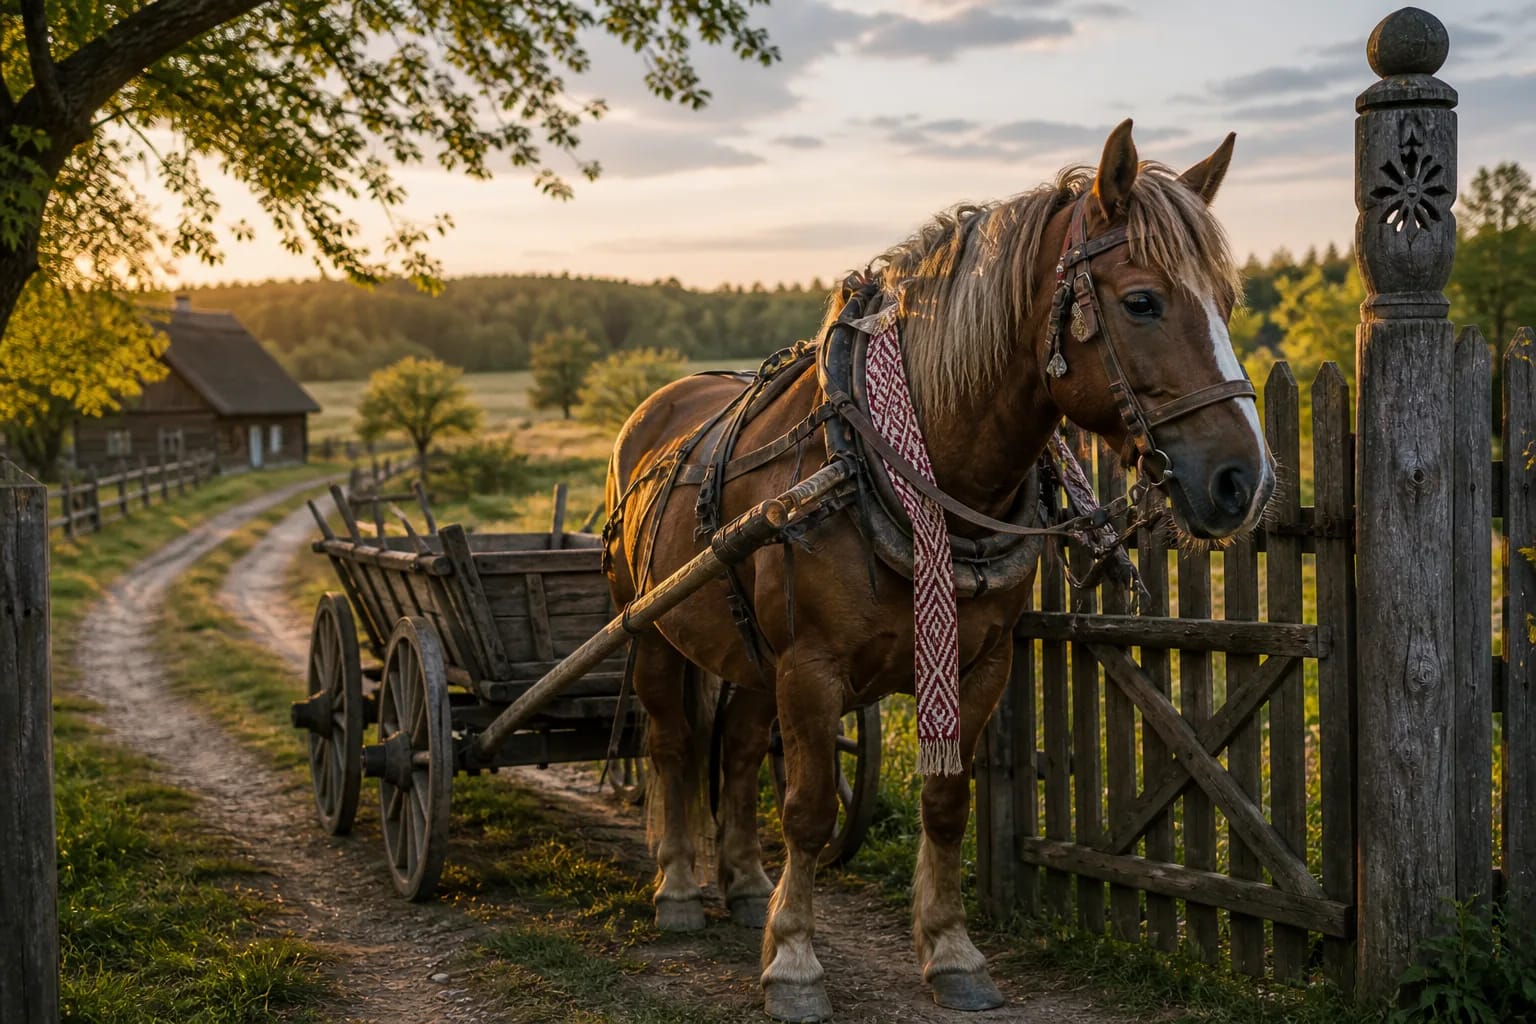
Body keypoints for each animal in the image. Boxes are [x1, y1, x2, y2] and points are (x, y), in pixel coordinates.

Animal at [602, 119, 1274, 1022]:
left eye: (1229, 305)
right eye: (1142, 301)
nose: (1244, 481)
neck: (898, 463)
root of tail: (652, 412)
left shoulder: (976, 664)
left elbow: (946, 802)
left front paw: (952, 950)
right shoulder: (810, 669)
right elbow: (808, 809)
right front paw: (796, 963)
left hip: (747, 655)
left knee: (738, 751)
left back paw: (744, 887)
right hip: (651, 633)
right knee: (672, 744)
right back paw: (677, 888)